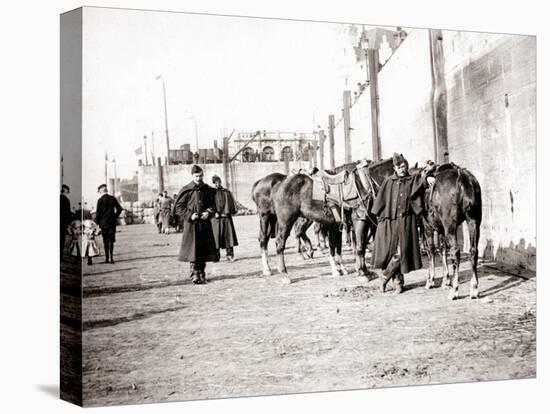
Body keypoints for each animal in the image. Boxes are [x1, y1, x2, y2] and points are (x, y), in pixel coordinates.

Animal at [418, 163, 484, 300]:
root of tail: (462, 176)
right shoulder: (442, 230)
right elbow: (442, 250)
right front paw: (445, 280)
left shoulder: (428, 226)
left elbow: (431, 250)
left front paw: (430, 280)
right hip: (474, 221)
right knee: (473, 251)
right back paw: (474, 288)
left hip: (451, 226)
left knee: (455, 252)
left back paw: (454, 290)